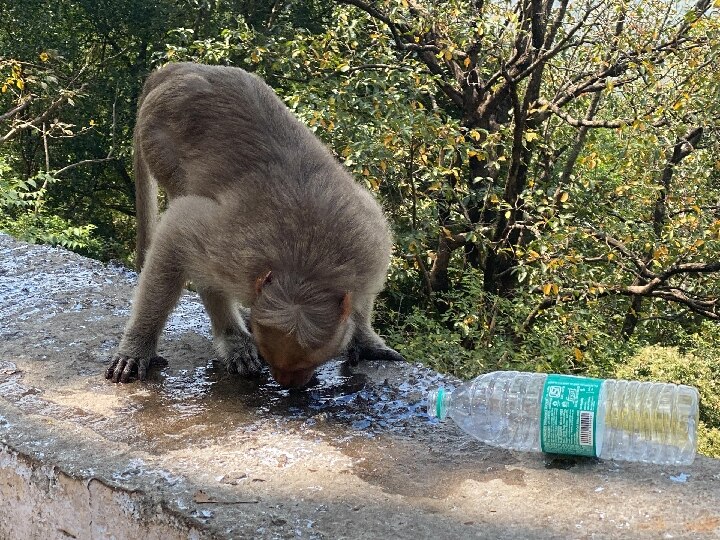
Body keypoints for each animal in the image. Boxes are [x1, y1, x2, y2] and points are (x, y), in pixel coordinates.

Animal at [105, 62, 404, 388]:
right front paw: (137, 348)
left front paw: (365, 339)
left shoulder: (369, 247)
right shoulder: (234, 255)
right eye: (277, 363)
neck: (307, 267)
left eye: (306, 365)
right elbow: (178, 231)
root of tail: (179, 68)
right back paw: (233, 338)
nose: (287, 384)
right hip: (158, 139)